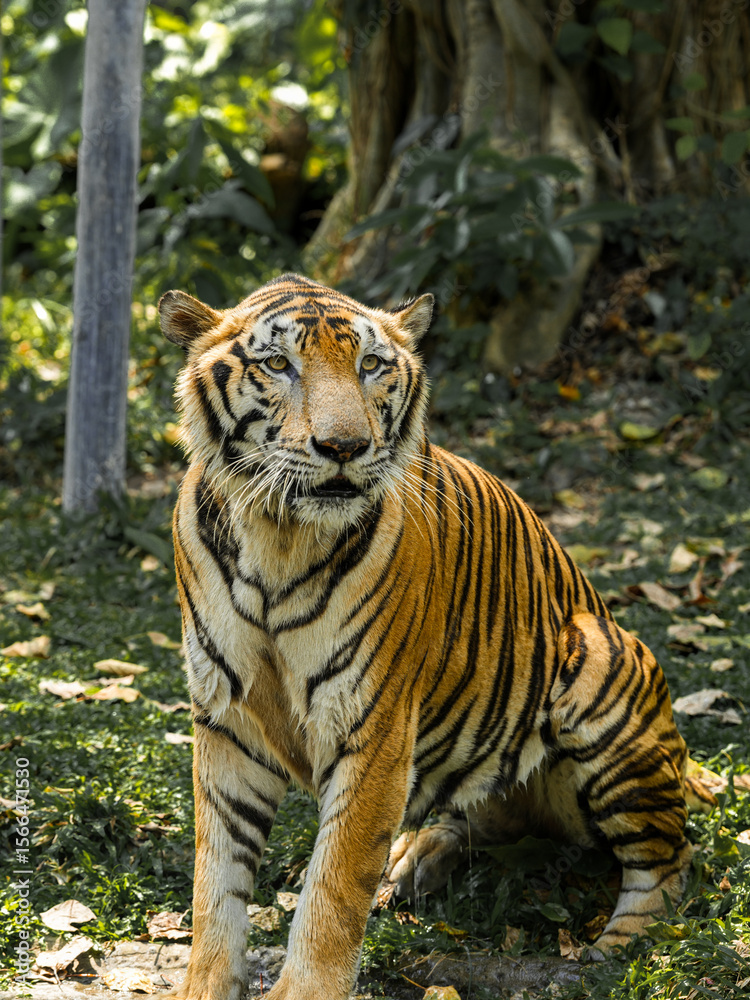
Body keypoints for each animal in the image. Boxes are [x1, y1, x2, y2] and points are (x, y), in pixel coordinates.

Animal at [159, 272, 706, 1000]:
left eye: (370, 365)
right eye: (278, 364)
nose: (343, 448)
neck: (278, 536)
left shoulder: (374, 734)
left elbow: (331, 891)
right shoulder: (225, 721)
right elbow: (215, 883)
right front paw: (205, 984)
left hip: (596, 670)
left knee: (669, 859)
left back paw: (608, 951)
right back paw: (415, 857)